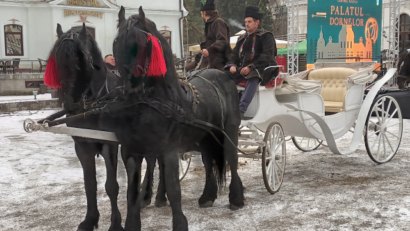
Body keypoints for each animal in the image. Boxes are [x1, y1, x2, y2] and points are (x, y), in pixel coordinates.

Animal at [42, 23, 125, 231]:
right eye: (57, 60)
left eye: (84, 59)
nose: (72, 105)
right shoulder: (82, 146)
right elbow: (89, 184)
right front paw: (90, 219)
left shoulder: (109, 144)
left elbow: (111, 185)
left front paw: (116, 223)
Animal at [101, 6, 243, 230]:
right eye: (116, 42)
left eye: (142, 43)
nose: (129, 88)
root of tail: (221, 75)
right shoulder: (131, 151)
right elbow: (131, 191)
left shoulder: (168, 150)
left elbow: (174, 188)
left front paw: (179, 222)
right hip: (205, 138)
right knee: (208, 163)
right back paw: (207, 197)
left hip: (229, 131)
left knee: (232, 159)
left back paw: (236, 198)